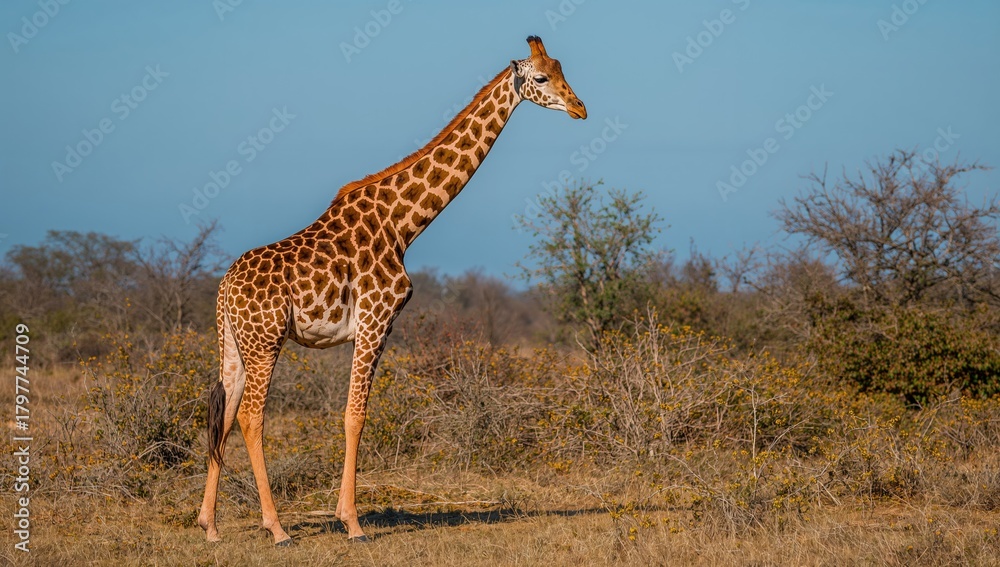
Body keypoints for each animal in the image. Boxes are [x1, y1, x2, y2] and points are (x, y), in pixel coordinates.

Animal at [197, 36, 586, 545]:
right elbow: (355, 415)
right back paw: (276, 528)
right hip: (266, 340)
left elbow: (351, 414)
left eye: (562, 71)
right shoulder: (375, 321)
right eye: (541, 77)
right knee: (251, 417)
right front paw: (353, 522)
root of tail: (224, 288)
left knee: (223, 413)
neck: (404, 225)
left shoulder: (370, 326)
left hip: (234, 343)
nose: (580, 108)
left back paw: (209, 525)